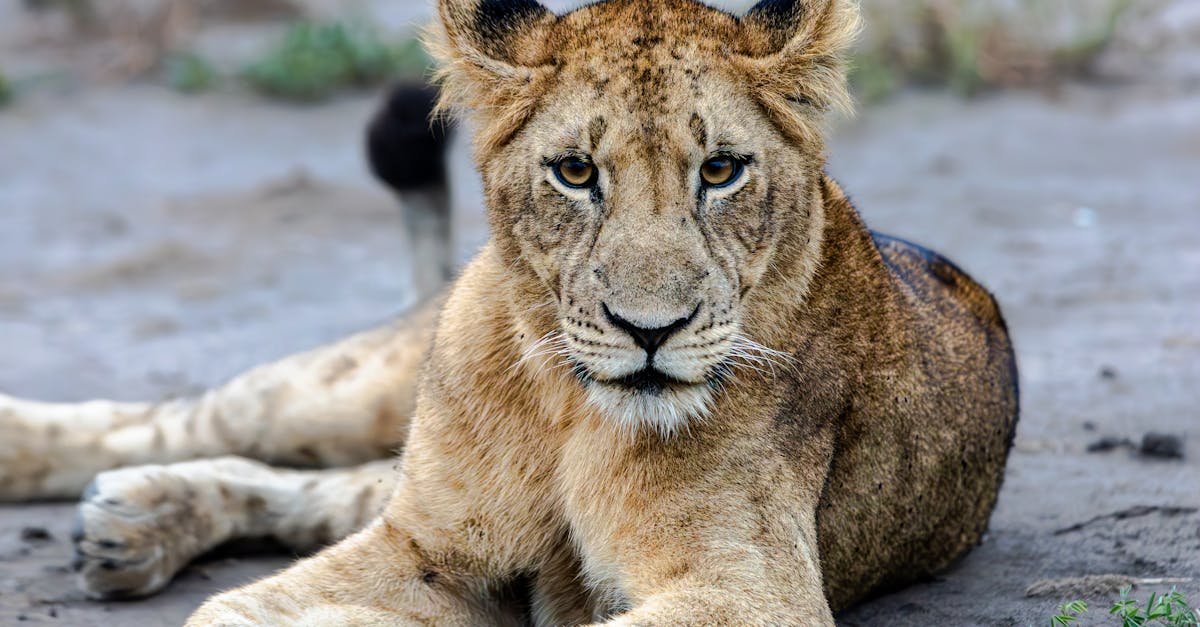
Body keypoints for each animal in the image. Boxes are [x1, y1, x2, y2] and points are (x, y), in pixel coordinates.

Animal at [0, 0, 1018, 623]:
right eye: (575, 171)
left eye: (721, 169)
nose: (651, 331)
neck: (566, 411)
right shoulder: (426, 545)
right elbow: (243, 604)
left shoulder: (750, 590)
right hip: (358, 392)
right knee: (205, 416)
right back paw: (69, 473)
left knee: (334, 486)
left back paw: (132, 522)